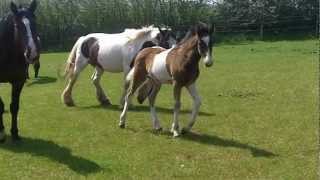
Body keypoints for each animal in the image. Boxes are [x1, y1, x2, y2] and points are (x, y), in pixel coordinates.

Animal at [0, 0, 39, 142]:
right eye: (17, 25)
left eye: (35, 23)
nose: (32, 53)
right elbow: (0, 105)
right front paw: (1, 132)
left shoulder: (18, 82)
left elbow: (14, 107)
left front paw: (15, 133)